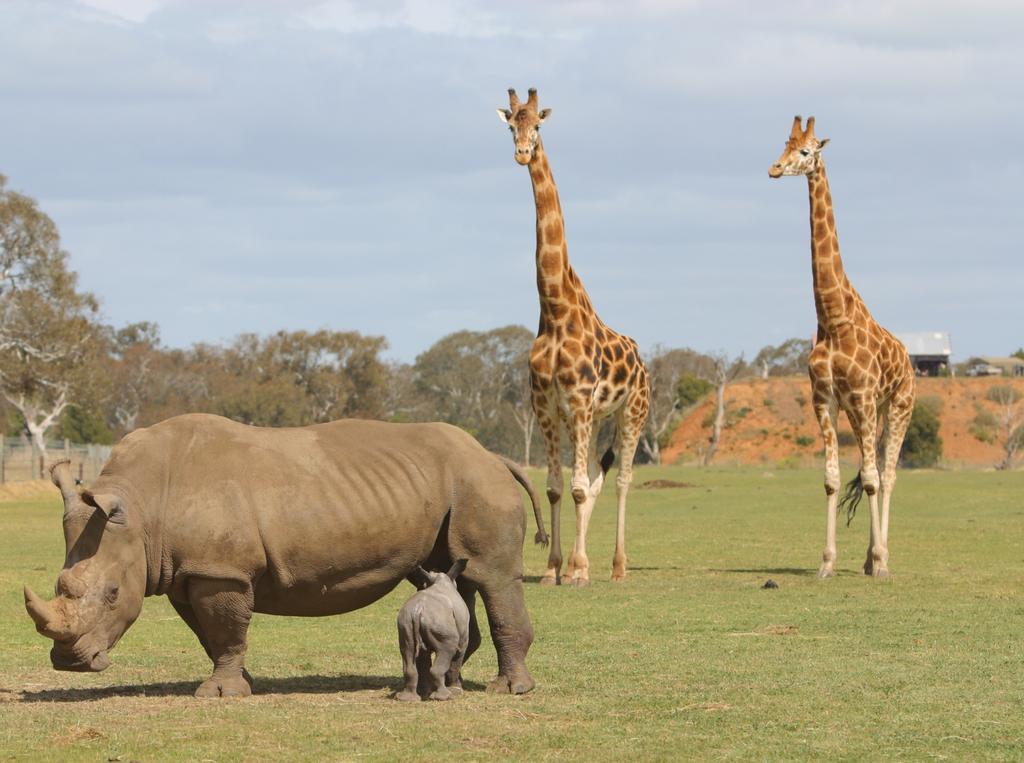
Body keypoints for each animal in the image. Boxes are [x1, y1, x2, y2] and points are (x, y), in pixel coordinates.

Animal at [497, 90, 655, 589]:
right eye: (511, 126)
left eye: (537, 126)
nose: (522, 153)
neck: (554, 310)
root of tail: (643, 362)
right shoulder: (547, 407)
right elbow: (555, 487)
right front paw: (554, 569)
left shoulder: (581, 403)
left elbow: (580, 489)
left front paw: (582, 569)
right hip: (592, 419)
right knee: (592, 475)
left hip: (631, 413)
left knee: (621, 480)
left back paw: (617, 567)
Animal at [770, 114, 917, 577]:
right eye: (783, 145)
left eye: (805, 151)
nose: (774, 169)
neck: (833, 320)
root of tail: (909, 360)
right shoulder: (827, 399)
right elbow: (833, 480)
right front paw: (827, 563)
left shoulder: (863, 397)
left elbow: (871, 479)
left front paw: (880, 561)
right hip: (868, 411)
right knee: (875, 471)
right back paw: (869, 559)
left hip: (898, 405)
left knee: (887, 476)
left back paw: (881, 558)